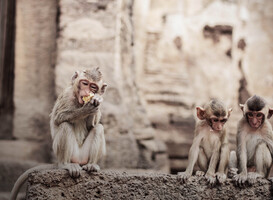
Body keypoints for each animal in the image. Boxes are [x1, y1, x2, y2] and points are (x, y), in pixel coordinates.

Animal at [9, 67, 107, 200]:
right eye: (84, 83)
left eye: (93, 87)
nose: (87, 91)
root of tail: (78, 161)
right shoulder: (66, 95)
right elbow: (58, 118)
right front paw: (87, 109)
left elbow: (91, 126)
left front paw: (96, 101)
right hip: (70, 155)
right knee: (65, 125)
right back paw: (64, 165)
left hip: (83, 156)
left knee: (99, 128)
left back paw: (91, 165)